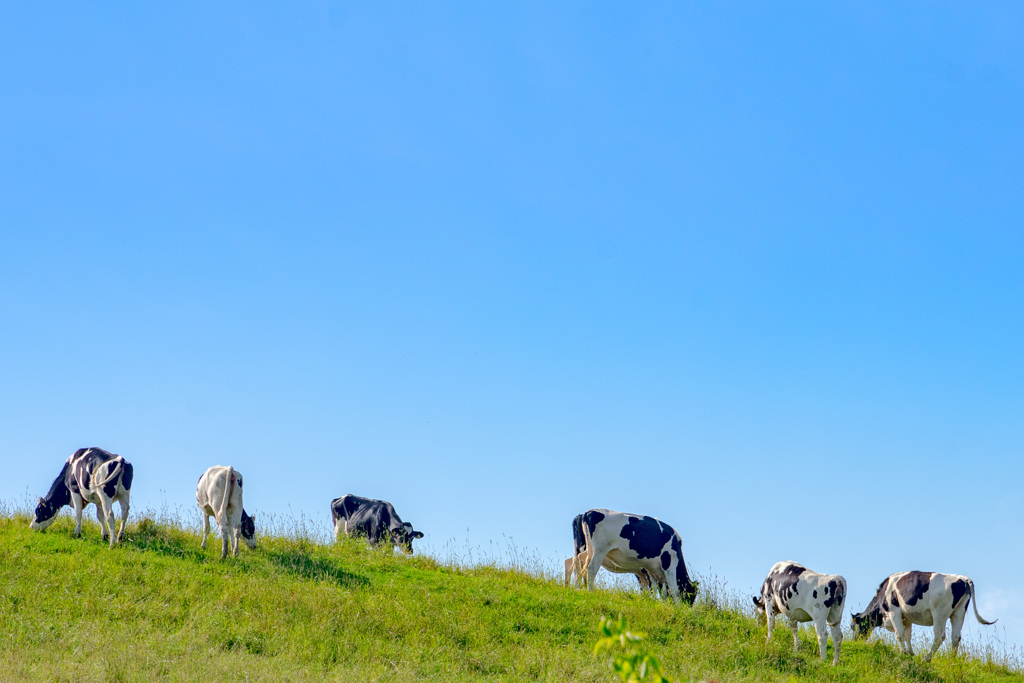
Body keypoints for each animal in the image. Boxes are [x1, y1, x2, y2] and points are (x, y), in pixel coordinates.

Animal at [851, 573, 995, 663]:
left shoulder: (894, 611)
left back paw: (927, 659)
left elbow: (899, 634)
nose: (855, 641)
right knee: (956, 637)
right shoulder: (906, 618)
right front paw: (910, 653)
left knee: (939, 636)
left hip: (939, 613)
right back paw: (952, 660)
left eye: (853, 626)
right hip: (959, 612)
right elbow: (907, 635)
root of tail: (963, 579)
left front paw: (903, 652)